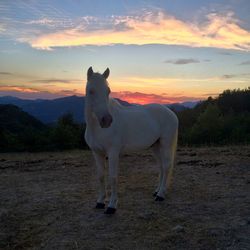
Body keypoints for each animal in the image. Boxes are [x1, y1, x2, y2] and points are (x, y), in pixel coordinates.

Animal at [85, 67, 179, 215]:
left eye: (108, 91)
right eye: (91, 91)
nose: (107, 120)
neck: (97, 128)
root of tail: (171, 113)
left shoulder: (113, 153)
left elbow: (113, 177)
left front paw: (111, 206)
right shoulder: (97, 153)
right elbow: (100, 176)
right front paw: (100, 202)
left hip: (165, 144)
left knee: (167, 166)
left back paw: (161, 195)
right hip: (155, 146)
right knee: (161, 167)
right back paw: (156, 191)